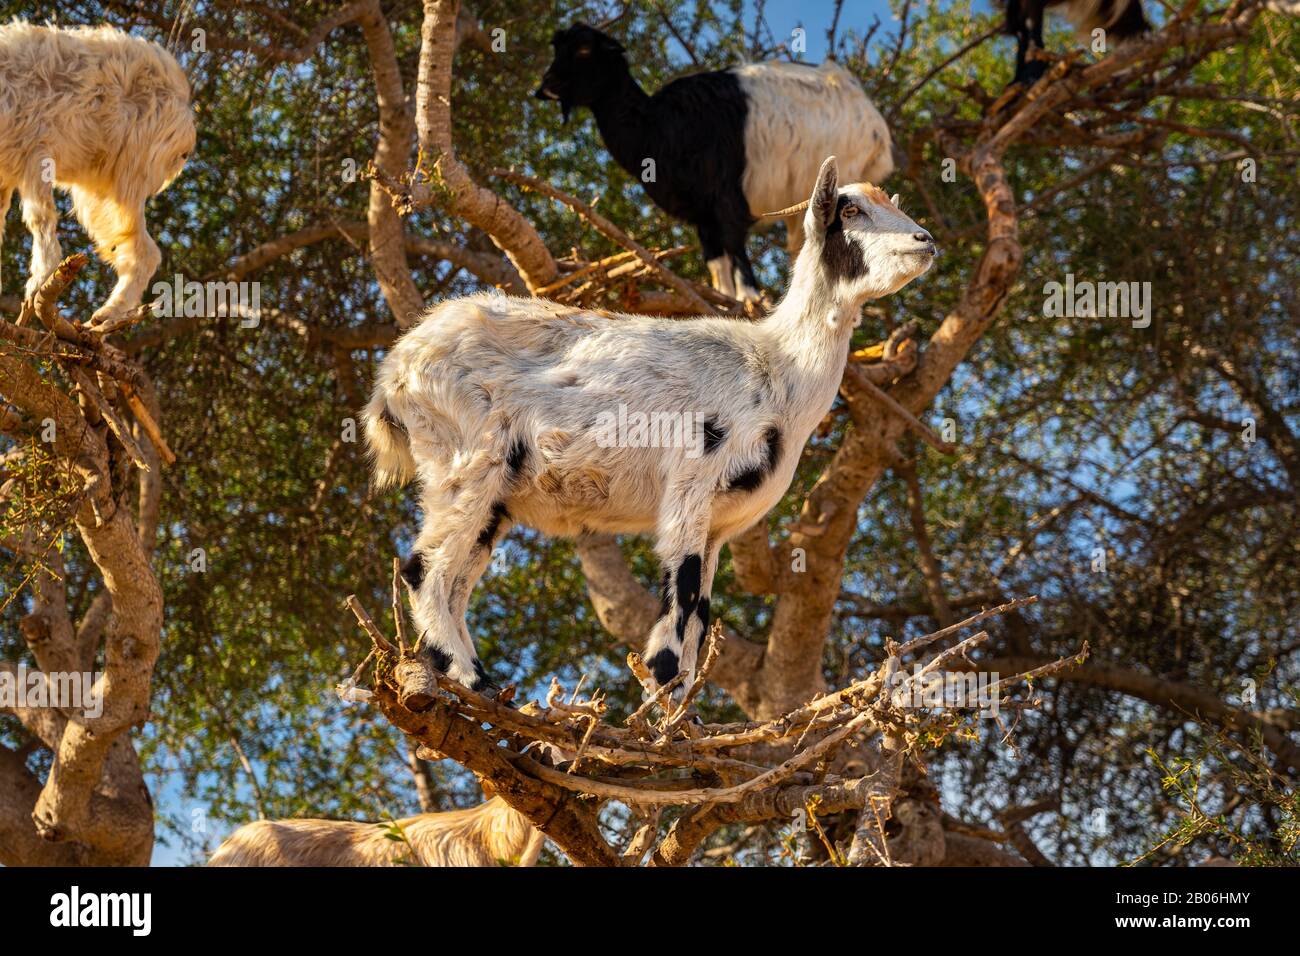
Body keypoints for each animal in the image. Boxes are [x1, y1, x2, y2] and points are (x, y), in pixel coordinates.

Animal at [0, 18, 192, 323]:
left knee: (144, 251)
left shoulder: (36, 149)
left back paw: (105, 316)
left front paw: (37, 284)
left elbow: (40, 218)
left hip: (125, 179)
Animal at [366, 157, 935, 707]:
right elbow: (681, 590)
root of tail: (395, 369)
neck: (777, 367)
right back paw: (474, 679)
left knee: (457, 581)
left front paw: (684, 710)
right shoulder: (691, 483)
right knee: (424, 570)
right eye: (850, 211)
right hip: (467, 455)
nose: (924, 241)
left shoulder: (720, 525)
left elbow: (701, 610)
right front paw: (663, 700)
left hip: (495, 494)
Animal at [530, 22, 894, 304]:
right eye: (557, 48)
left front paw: (751, 299)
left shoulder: (727, 196)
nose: (544, 87)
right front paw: (727, 301)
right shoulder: (702, 214)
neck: (656, 124)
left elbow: (735, 245)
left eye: (583, 51)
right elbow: (718, 264)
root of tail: (874, 124)